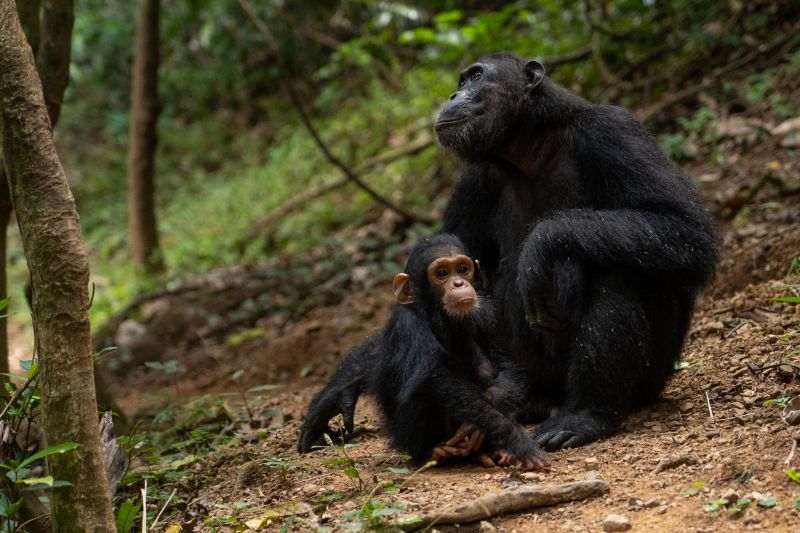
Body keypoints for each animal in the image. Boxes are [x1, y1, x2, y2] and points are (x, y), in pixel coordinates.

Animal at [300, 233, 552, 470]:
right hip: (409, 441)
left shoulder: (484, 317)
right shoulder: (409, 327)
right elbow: (435, 379)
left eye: (463, 269)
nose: (459, 283)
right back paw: (435, 452)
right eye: (441, 273)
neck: (438, 319)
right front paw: (517, 441)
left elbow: (507, 365)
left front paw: (489, 413)